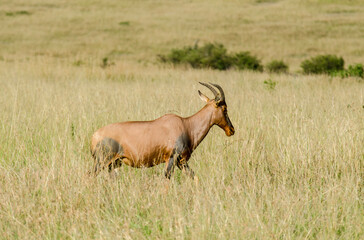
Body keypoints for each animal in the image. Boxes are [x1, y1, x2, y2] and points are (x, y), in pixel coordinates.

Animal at [89, 81, 235, 179]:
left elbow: (194, 177)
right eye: (224, 108)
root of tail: (95, 136)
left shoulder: (181, 162)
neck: (186, 125)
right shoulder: (171, 159)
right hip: (101, 162)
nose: (231, 130)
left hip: (114, 164)